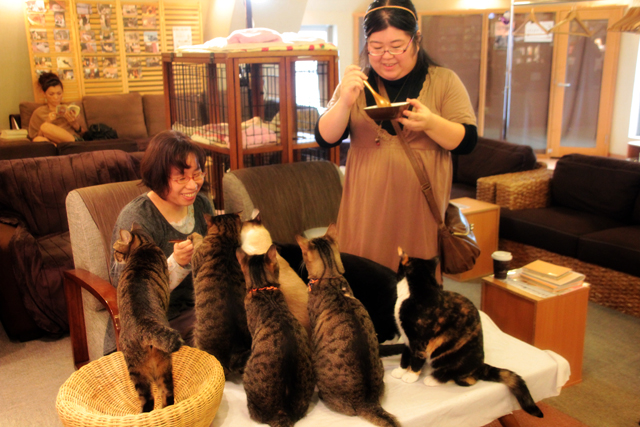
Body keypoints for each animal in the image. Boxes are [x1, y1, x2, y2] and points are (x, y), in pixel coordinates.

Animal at [112, 226, 181, 412]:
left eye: (115, 249)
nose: (113, 257)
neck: (143, 245)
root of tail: (144, 326)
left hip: (137, 371)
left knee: (148, 400)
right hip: (163, 365)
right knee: (167, 394)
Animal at [392, 249, 544, 420]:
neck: (420, 291)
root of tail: (480, 366)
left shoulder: (419, 340)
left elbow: (416, 358)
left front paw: (411, 375)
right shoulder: (406, 338)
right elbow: (405, 355)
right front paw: (401, 370)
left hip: (447, 356)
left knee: (467, 379)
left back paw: (434, 379)